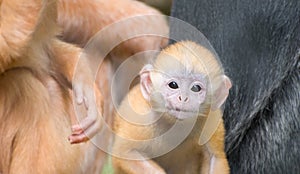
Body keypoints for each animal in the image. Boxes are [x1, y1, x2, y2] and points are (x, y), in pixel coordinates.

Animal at [111, 41, 231, 174]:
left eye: (196, 88)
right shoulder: (141, 117)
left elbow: (214, 159)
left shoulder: (211, 118)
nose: (183, 98)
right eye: (173, 85)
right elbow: (125, 153)